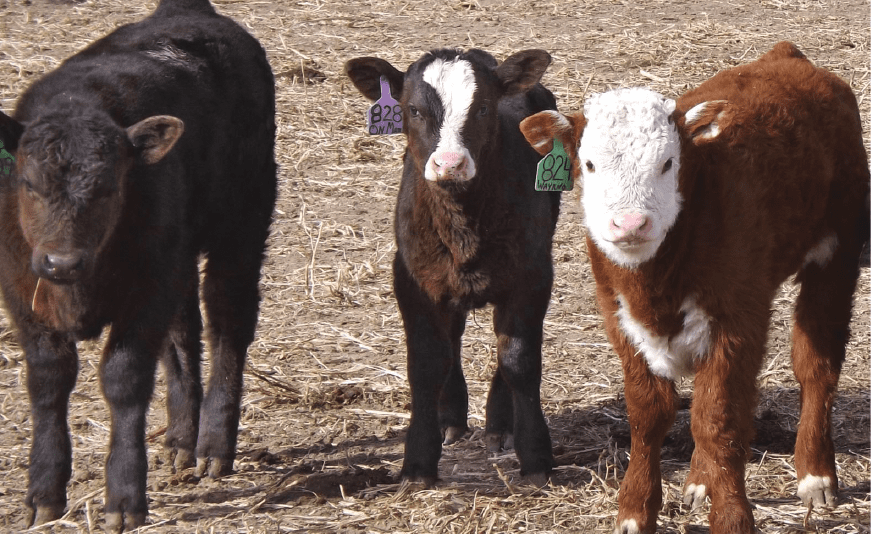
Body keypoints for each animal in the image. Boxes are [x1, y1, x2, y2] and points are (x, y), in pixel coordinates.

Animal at [344, 49, 564, 486]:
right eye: (413, 109)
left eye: (482, 108)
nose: (449, 164)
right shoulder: (412, 279)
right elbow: (427, 363)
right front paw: (417, 462)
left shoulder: (532, 276)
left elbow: (519, 360)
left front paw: (535, 456)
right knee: (453, 338)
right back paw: (451, 420)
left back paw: (501, 426)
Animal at [520, 42, 868, 534]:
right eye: (589, 164)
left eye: (668, 163)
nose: (630, 223)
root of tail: (787, 56)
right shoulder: (619, 318)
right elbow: (650, 415)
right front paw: (635, 510)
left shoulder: (738, 317)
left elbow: (718, 418)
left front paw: (731, 518)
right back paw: (701, 482)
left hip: (835, 253)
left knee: (815, 365)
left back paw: (815, 474)